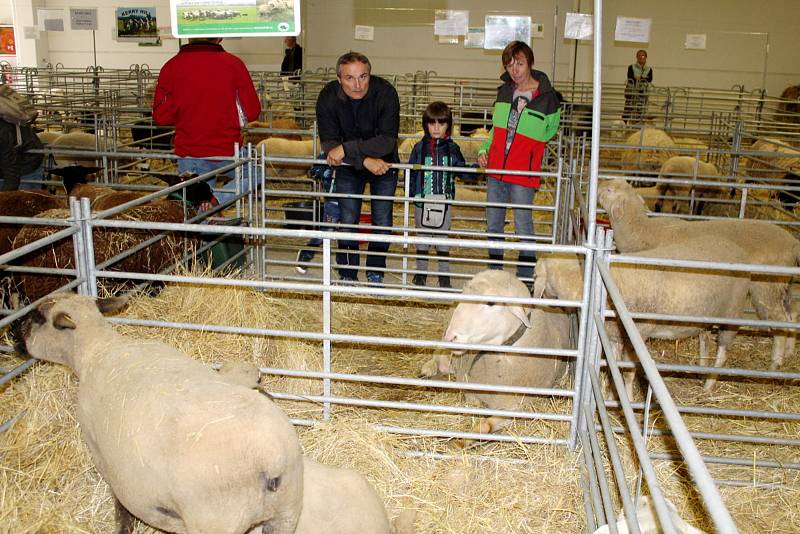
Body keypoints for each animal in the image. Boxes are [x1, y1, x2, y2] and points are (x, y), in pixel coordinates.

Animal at [12, 294, 306, 534]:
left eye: (38, 317)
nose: (12, 334)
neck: (100, 349)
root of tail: (270, 459)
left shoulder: (100, 451)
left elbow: (119, 502)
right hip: (287, 511)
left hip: (218, 520)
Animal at [422, 272, 572, 436]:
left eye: (491, 303)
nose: (451, 337)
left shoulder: (521, 404)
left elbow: (488, 425)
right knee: (438, 353)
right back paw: (428, 368)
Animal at [536, 237, 752, 392]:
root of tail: (735, 247)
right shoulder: (614, 336)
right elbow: (613, 368)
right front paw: (610, 394)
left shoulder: (637, 334)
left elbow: (627, 373)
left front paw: (627, 399)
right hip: (707, 315)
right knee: (704, 339)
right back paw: (702, 369)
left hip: (732, 312)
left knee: (722, 352)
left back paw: (708, 385)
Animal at [600, 180, 800, 372]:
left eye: (609, 190)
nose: (599, 185)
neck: (642, 230)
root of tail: (792, 243)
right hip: (783, 285)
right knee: (791, 315)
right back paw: (789, 353)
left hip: (766, 286)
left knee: (780, 319)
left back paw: (775, 363)